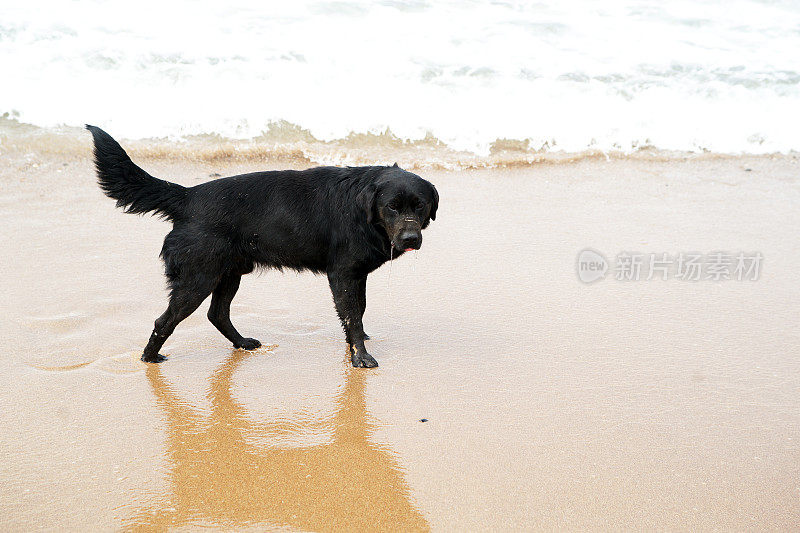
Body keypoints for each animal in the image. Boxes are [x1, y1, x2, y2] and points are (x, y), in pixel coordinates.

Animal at [86, 125, 438, 366]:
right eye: (392, 207)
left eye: (420, 206)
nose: (410, 239)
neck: (362, 211)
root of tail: (188, 196)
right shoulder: (343, 274)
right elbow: (352, 315)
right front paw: (360, 357)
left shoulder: (357, 275)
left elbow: (358, 312)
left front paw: (358, 342)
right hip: (197, 278)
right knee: (165, 321)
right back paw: (150, 359)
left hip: (228, 273)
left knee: (217, 314)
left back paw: (241, 343)